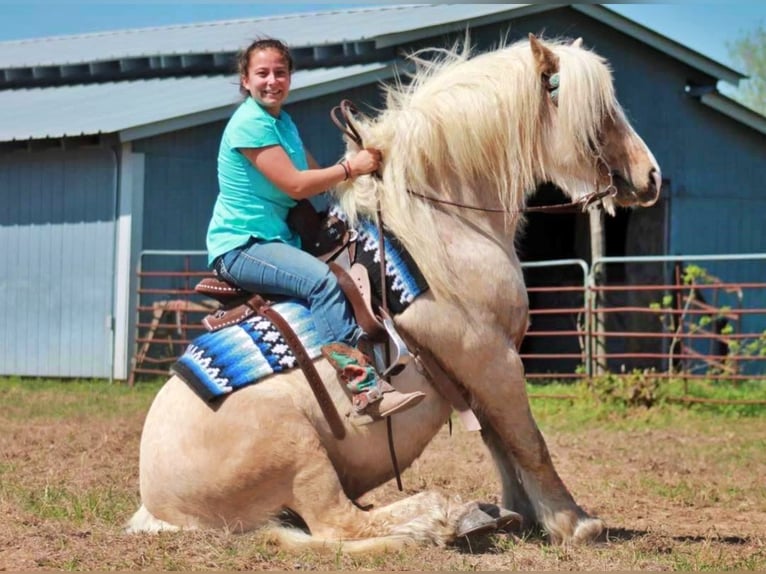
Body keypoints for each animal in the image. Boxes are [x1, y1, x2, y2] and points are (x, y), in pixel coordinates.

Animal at [129, 36, 664, 552]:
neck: (442, 227)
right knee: (340, 525)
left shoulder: (477, 373)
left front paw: (526, 514)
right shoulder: (491, 359)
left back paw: (476, 516)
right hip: (299, 452)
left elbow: (500, 443)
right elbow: (528, 442)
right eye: (599, 113)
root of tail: (156, 507)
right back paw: (447, 517)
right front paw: (574, 523)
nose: (651, 176)